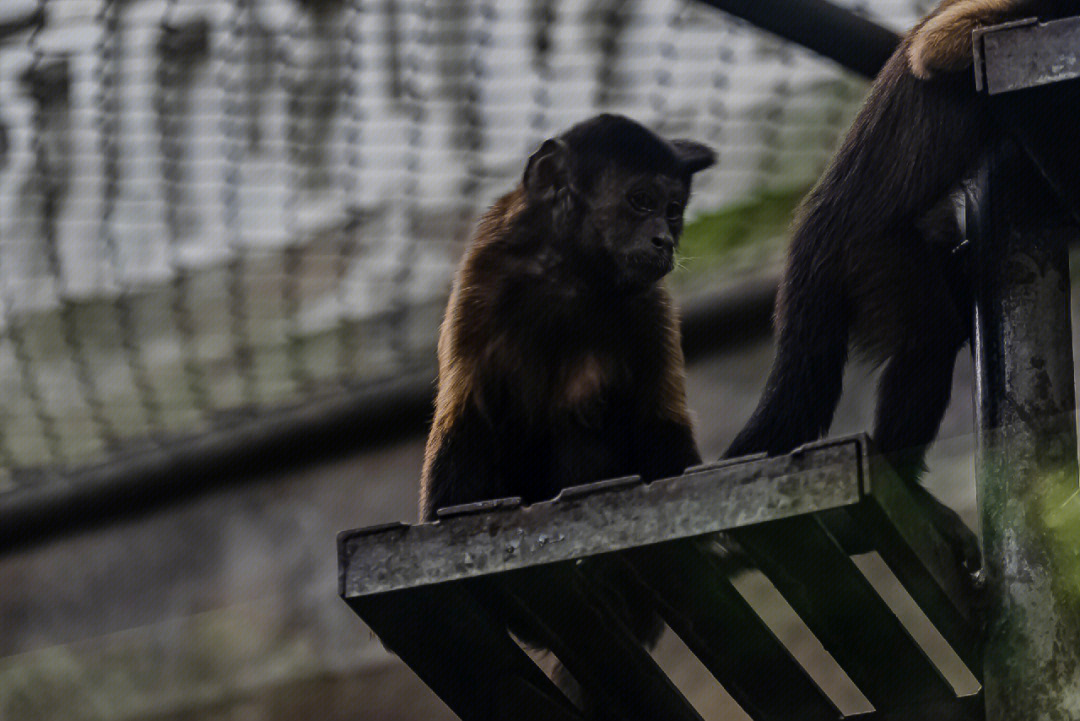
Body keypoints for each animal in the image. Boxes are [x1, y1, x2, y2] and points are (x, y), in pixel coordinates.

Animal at [421, 112, 717, 716]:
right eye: (641, 201)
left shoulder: (648, 307)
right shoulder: (485, 273)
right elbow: (466, 420)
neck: (572, 273)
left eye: (673, 210)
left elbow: (658, 424)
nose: (664, 239)